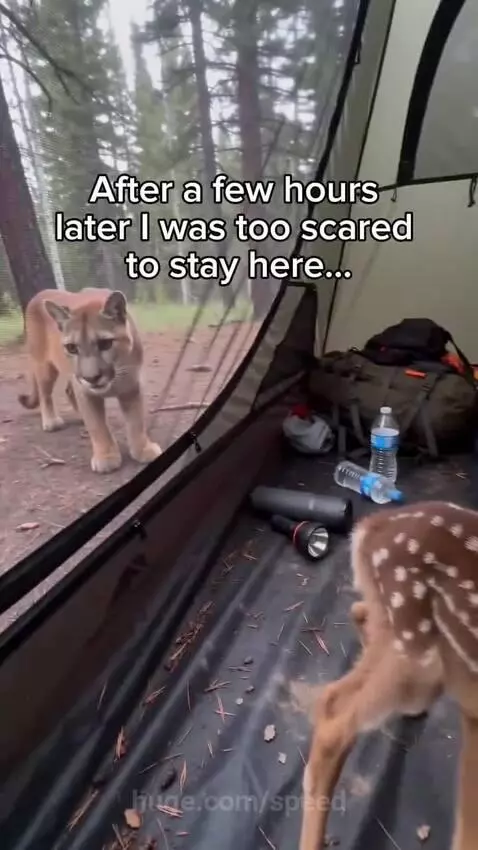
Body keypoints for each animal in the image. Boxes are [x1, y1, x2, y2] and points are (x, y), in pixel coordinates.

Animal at [18, 287, 162, 473]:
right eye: (72, 348)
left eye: (105, 344)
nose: (91, 377)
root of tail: (40, 293)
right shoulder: (86, 392)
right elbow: (97, 425)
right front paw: (106, 457)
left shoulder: (132, 387)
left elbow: (136, 422)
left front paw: (143, 449)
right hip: (44, 366)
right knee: (45, 394)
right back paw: (51, 421)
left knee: (68, 390)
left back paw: (79, 415)